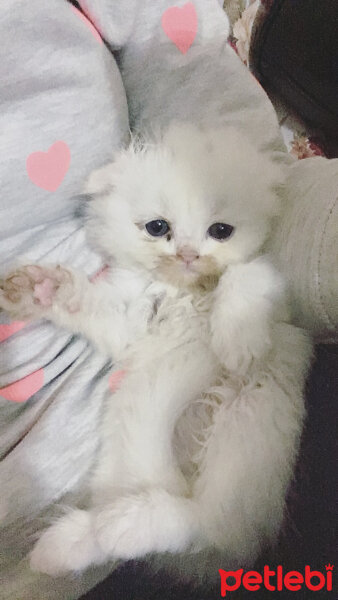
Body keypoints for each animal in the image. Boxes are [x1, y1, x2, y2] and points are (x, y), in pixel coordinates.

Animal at [0, 123, 312, 576]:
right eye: (157, 227)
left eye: (221, 231)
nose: (188, 254)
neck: (185, 291)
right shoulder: (129, 320)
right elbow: (86, 303)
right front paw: (42, 288)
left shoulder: (280, 297)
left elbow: (244, 274)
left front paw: (237, 343)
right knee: (166, 527)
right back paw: (71, 543)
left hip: (246, 431)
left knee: (201, 525)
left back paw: (105, 529)